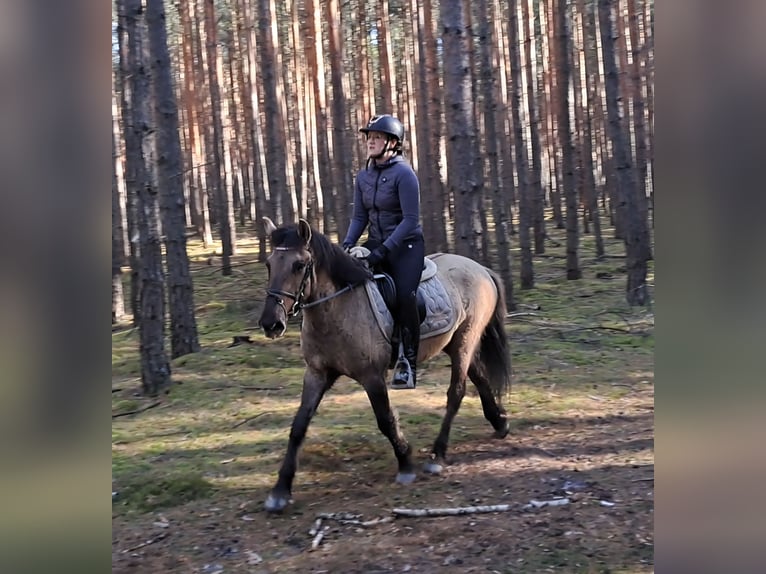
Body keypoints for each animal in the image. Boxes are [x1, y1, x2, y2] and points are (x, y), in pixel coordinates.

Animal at [258, 218, 512, 513]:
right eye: (269, 264)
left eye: (299, 265)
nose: (271, 324)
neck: (337, 306)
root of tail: (481, 269)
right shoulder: (317, 374)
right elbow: (298, 426)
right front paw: (280, 491)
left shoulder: (371, 376)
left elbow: (385, 419)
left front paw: (405, 463)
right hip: (454, 344)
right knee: (479, 377)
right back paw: (499, 422)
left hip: (465, 341)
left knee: (456, 393)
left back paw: (437, 454)